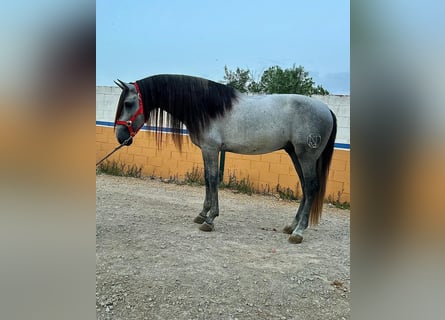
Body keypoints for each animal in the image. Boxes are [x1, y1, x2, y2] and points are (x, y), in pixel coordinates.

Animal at [112, 74, 334, 242]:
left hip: (306, 156)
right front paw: (202, 214)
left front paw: (210, 219)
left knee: (311, 187)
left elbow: (212, 179)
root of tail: (327, 109)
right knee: (305, 187)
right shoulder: (207, 150)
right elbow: (207, 179)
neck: (206, 107)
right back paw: (291, 226)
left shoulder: (211, 149)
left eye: (128, 103)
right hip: (295, 154)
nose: (121, 137)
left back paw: (298, 232)